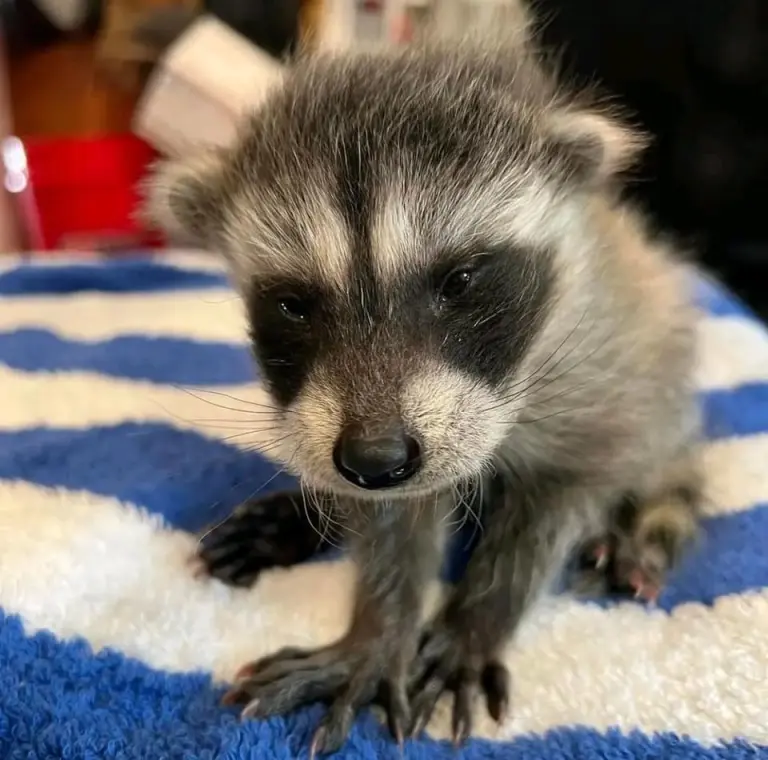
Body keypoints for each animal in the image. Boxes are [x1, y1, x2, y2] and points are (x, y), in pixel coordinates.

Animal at [146, 12, 702, 754]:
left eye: (459, 282)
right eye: (294, 304)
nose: (373, 459)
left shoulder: (595, 364)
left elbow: (565, 490)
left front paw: (480, 616)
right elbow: (391, 517)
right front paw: (380, 628)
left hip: (665, 365)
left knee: (667, 454)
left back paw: (646, 527)